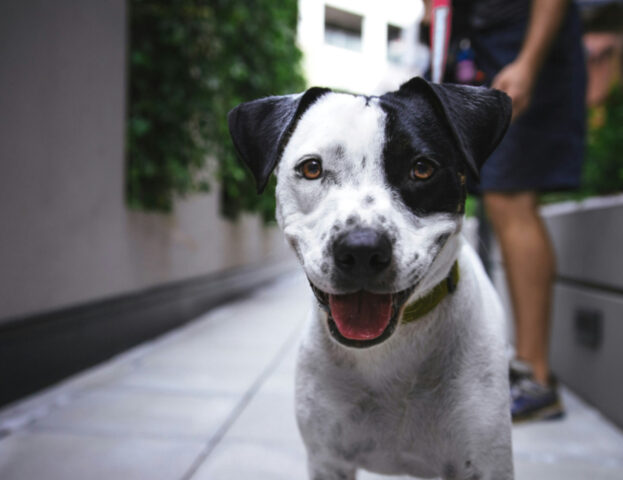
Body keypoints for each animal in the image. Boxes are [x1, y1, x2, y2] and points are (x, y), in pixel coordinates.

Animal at [227, 77, 516, 478]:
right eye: (312, 168)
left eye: (422, 169)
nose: (361, 249)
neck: (390, 350)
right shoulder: (327, 460)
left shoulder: (485, 464)